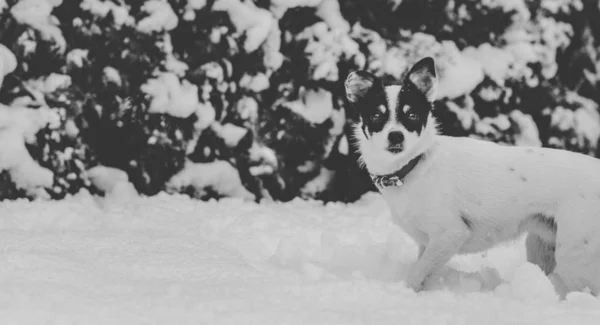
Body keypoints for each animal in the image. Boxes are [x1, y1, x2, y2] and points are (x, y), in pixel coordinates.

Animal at [342, 57, 600, 294]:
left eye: (412, 115)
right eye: (376, 116)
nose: (396, 136)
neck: (413, 167)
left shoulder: (449, 234)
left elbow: (416, 274)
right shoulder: (428, 242)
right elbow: (423, 270)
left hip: (574, 257)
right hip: (542, 246)